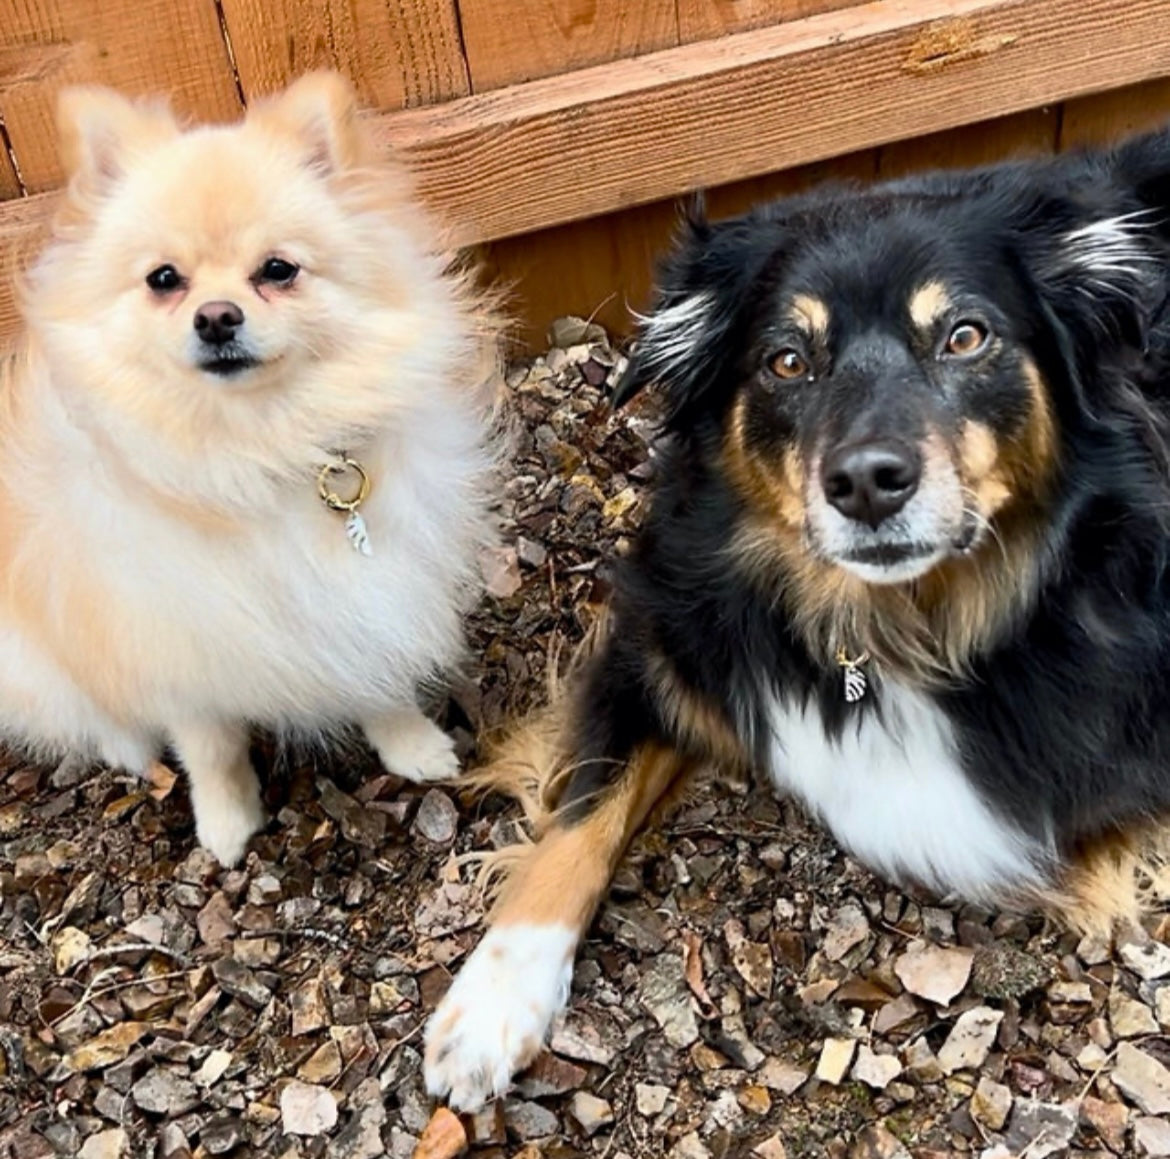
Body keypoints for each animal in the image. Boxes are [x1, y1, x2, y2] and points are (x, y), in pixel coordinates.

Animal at [0, 72, 498, 865]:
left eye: (278, 270)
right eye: (163, 279)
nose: (216, 317)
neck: (258, 448)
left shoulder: (360, 593)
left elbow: (374, 677)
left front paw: (412, 744)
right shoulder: (177, 645)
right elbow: (211, 748)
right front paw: (228, 824)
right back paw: (126, 744)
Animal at [425, 124, 1170, 1104]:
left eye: (965, 336)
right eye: (787, 359)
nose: (866, 482)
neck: (889, 620)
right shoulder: (660, 641)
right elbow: (581, 814)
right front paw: (491, 1003)